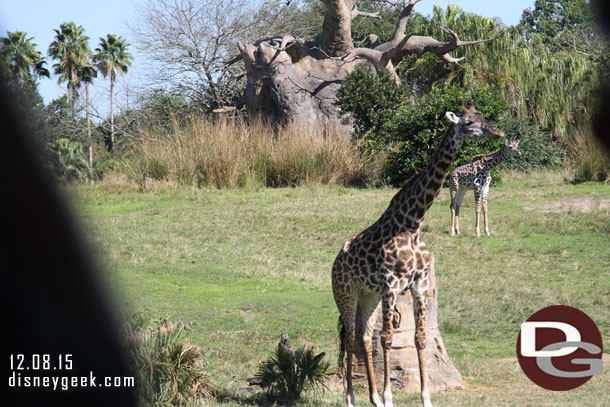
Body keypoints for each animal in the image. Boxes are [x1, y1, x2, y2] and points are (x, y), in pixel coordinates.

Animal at [332, 101, 504, 407]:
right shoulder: (391, 285)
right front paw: (389, 397)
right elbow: (388, 338)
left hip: (368, 294)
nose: (498, 133)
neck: (413, 223)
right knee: (351, 337)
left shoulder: (420, 283)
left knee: (364, 336)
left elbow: (420, 338)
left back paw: (373, 398)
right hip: (345, 292)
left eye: (483, 117)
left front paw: (425, 398)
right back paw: (352, 398)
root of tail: (335, 262)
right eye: (468, 123)